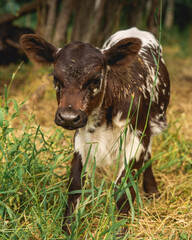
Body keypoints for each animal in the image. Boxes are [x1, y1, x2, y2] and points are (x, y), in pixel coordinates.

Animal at [19, 27, 170, 233]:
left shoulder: (138, 137)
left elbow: (123, 188)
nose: (68, 117)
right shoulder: (81, 138)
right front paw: (68, 229)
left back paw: (152, 190)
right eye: (56, 78)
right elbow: (76, 185)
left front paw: (120, 229)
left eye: (97, 79)